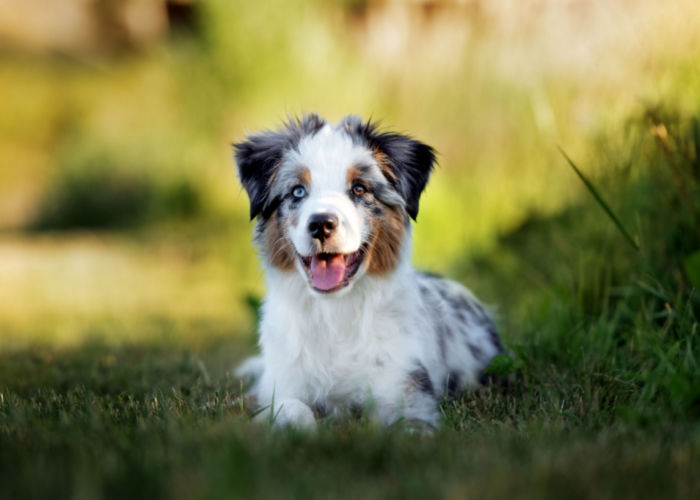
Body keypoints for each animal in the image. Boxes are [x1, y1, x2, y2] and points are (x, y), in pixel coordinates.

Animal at [235, 114, 504, 430]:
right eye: (297, 191)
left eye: (359, 189)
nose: (321, 224)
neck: (334, 313)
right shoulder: (279, 385)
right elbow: (291, 409)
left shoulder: (407, 387)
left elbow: (406, 425)